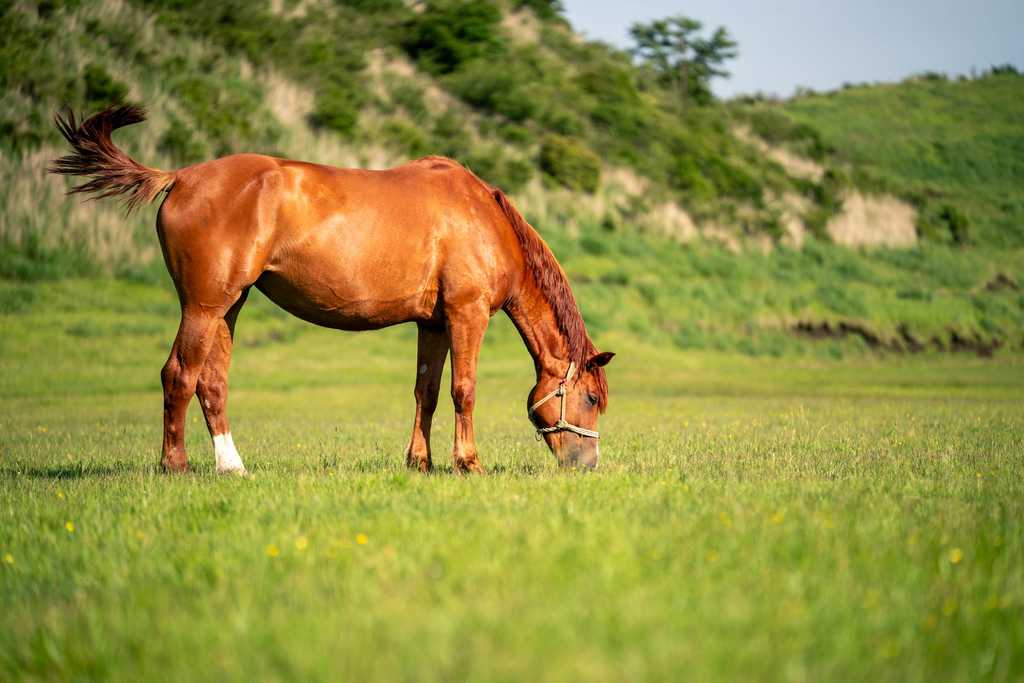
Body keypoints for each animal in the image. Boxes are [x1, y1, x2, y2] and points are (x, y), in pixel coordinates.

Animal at [49, 105, 614, 475]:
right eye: (589, 397)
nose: (587, 464)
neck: (483, 219)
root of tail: (181, 176)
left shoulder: (432, 323)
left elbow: (426, 392)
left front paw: (420, 463)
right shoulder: (465, 315)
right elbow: (463, 390)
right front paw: (467, 463)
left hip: (229, 307)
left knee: (212, 382)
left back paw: (232, 466)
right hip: (204, 306)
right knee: (178, 376)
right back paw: (176, 465)